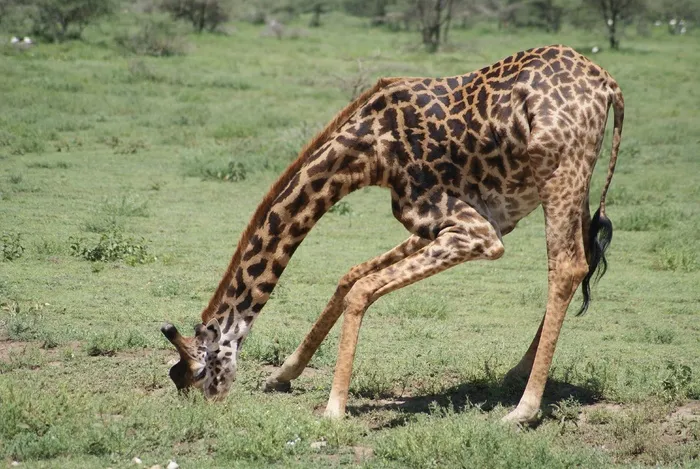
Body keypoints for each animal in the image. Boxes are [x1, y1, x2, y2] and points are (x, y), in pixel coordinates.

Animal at [163, 44, 624, 424]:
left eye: (200, 372)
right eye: (181, 378)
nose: (210, 407)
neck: (369, 153)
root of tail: (609, 84)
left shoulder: (476, 233)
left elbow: (361, 289)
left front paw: (333, 409)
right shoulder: (439, 224)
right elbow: (349, 276)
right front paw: (282, 374)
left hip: (559, 170)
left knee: (566, 266)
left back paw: (523, 410)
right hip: (574, 182)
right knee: (580, 259)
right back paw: (516, 374)